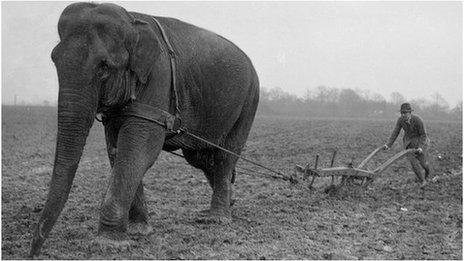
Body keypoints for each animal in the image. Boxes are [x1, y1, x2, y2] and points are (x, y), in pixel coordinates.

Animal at [30, 2, 260, 256]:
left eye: (103, 67)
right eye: (54, 60)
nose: (34, 253)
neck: (131, 20)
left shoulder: (158, 78)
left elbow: (138, 148)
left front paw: (108, 244)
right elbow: (116, 149)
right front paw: (139, 231)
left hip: (249, 101)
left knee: (224, 157)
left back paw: (217, 219)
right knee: (202, 158)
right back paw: (229, 203)